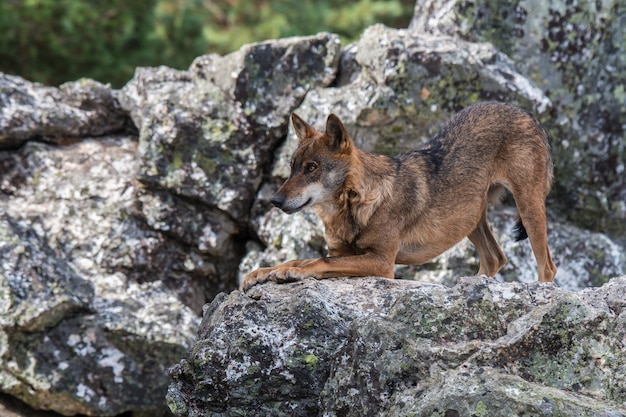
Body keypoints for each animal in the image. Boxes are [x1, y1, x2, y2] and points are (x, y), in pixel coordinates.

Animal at [243, 101, 556, 290]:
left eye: (312, 168)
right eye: (292, 167)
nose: (274, 201)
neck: (356, 205)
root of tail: (528, 115)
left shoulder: (382, 261)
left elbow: (318, 262)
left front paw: (292, 272)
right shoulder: (342, 252)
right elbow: (298, 259)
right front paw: (263, 272)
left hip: (528, 209)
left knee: (547, 268)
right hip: (470, 218)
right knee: (495, 259)